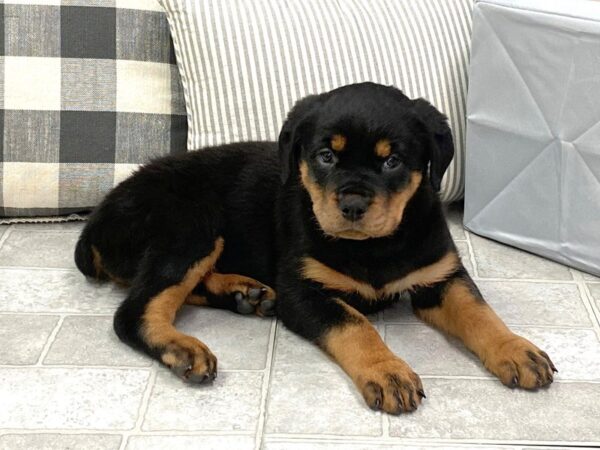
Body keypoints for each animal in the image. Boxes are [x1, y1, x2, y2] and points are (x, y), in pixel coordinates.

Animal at [76, 81, 556, 414]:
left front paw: (517, 350)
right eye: (326, 156)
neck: (373, 248)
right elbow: (354, 326)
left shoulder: (440, 275)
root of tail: (97, 217)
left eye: (392, 161)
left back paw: (244, 293)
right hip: (191, 224)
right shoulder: (303, 289)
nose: (353, 205)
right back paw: (184, 347)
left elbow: (479, 312)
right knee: (134, 311)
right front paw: (388, 372)